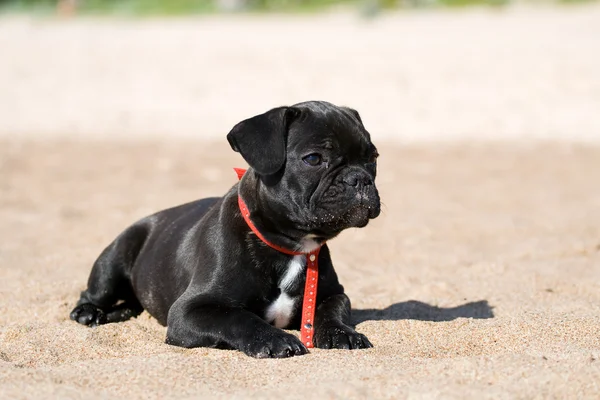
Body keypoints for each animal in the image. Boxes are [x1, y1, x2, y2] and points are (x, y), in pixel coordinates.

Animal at [70, 101, 380, 358]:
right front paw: (275, 339)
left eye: (373, 158)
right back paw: (89, 313)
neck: (289, 244)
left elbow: (333, 310)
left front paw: (343, 333)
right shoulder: (190, 310)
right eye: (314, 159)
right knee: (95, 290)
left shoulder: (332, 293)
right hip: (116, 256)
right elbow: (238, 318)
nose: (359, 178)